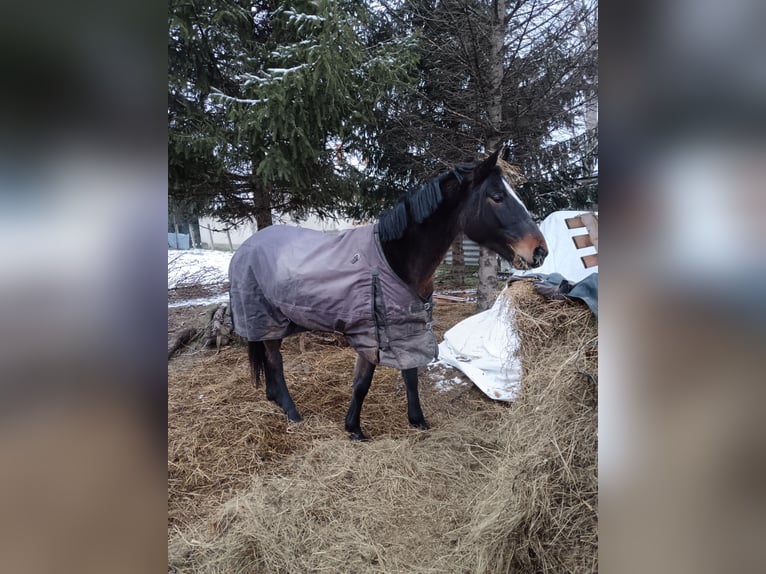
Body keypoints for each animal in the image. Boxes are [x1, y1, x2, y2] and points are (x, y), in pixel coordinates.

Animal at [231, 150, 548, 440]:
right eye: (496, 196)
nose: (539, 251)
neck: (393, 258)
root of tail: (248, 245)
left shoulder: (405, 327)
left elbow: (410, 375)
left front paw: (417, 421)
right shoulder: (370, 333)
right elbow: (362, 383)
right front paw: (355, 429)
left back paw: (274, 399)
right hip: (265, 318)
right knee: (275, 362)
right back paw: (292, 413)